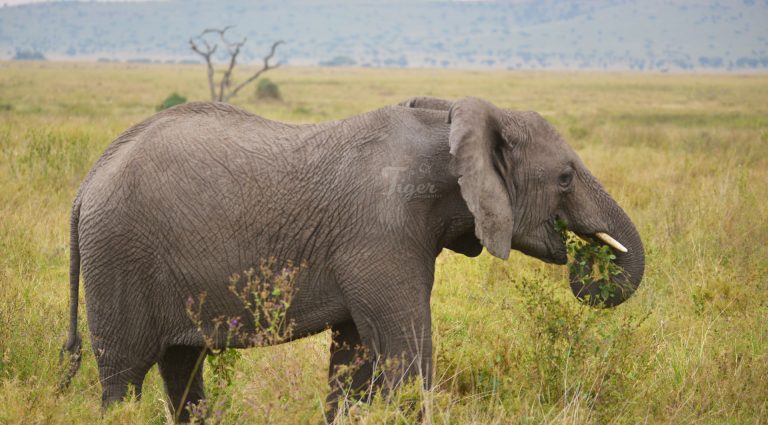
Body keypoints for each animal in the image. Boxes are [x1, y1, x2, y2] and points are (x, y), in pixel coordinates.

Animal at [60, 96, 644, 422]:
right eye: (565, 176)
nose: (586, 262)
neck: (447, 124)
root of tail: (88, 182)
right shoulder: (381, 235)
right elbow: (406, 353)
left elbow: (355, 363)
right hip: (119, 257)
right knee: (123, 376)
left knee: (183, 369)